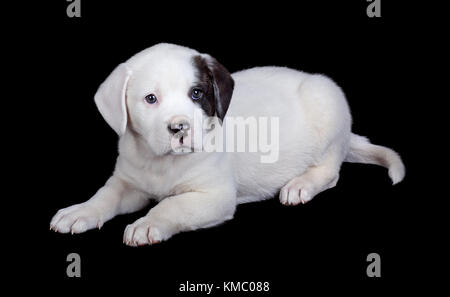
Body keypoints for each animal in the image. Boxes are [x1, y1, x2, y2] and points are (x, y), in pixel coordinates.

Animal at [49, 42, 404, 245]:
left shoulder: (214, 196)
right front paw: (81, 211)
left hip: (327, 107)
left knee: (331, 170)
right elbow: (105, 195)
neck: (161, 162)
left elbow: (171, 205)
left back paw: (300, 185)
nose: (179, 127)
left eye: (196, 94)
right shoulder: (127, 182)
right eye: (150, 99)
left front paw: (147, 224)